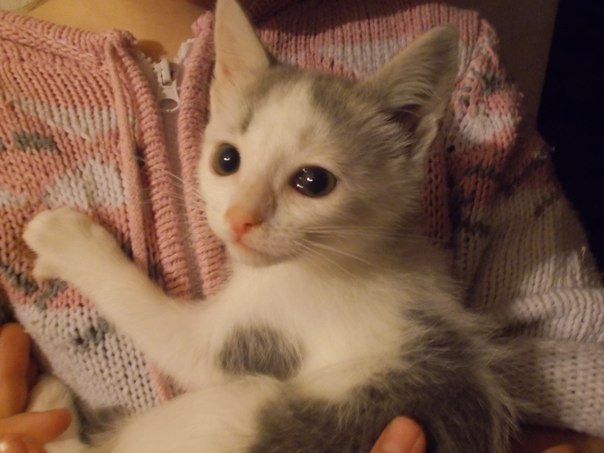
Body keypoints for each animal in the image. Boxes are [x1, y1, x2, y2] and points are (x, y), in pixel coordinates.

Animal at [23, 0, 517, 451]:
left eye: (313, 182)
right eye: (226, 160)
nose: (239, 218)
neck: (363, 252)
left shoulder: (263, 331)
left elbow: (161, 325)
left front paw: (69, 243)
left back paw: (52, 410)